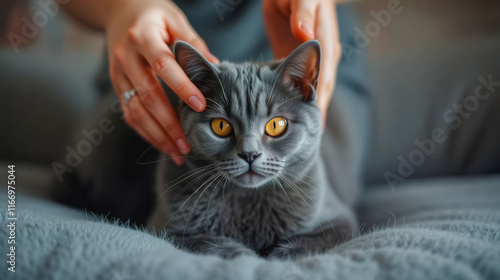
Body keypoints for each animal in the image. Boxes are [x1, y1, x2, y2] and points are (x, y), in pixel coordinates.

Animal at [146, 40, 358, 258]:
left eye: (276, 125)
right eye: (220, 126)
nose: (249, 154)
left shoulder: (341, 221)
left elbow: (311, 242)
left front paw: (279, 255)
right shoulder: (162, 227)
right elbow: (203, 241)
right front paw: (242, 254)